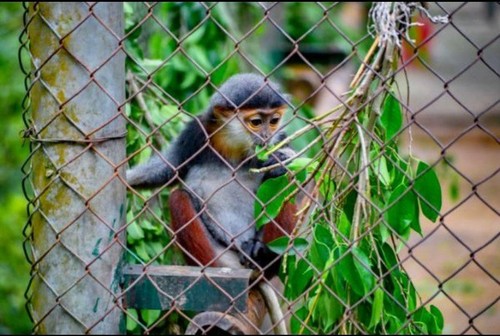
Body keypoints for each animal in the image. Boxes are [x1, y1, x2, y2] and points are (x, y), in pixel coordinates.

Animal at [127, 73, 296, 278]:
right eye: (256, 122)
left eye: (273, 121)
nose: (266, 136)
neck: (234, 145)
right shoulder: (197, 131)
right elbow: (168, 168)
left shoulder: (279, 138)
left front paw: (283, 160)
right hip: (221, 254)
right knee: (178, 198)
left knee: (286, 181)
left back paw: (262, 253)